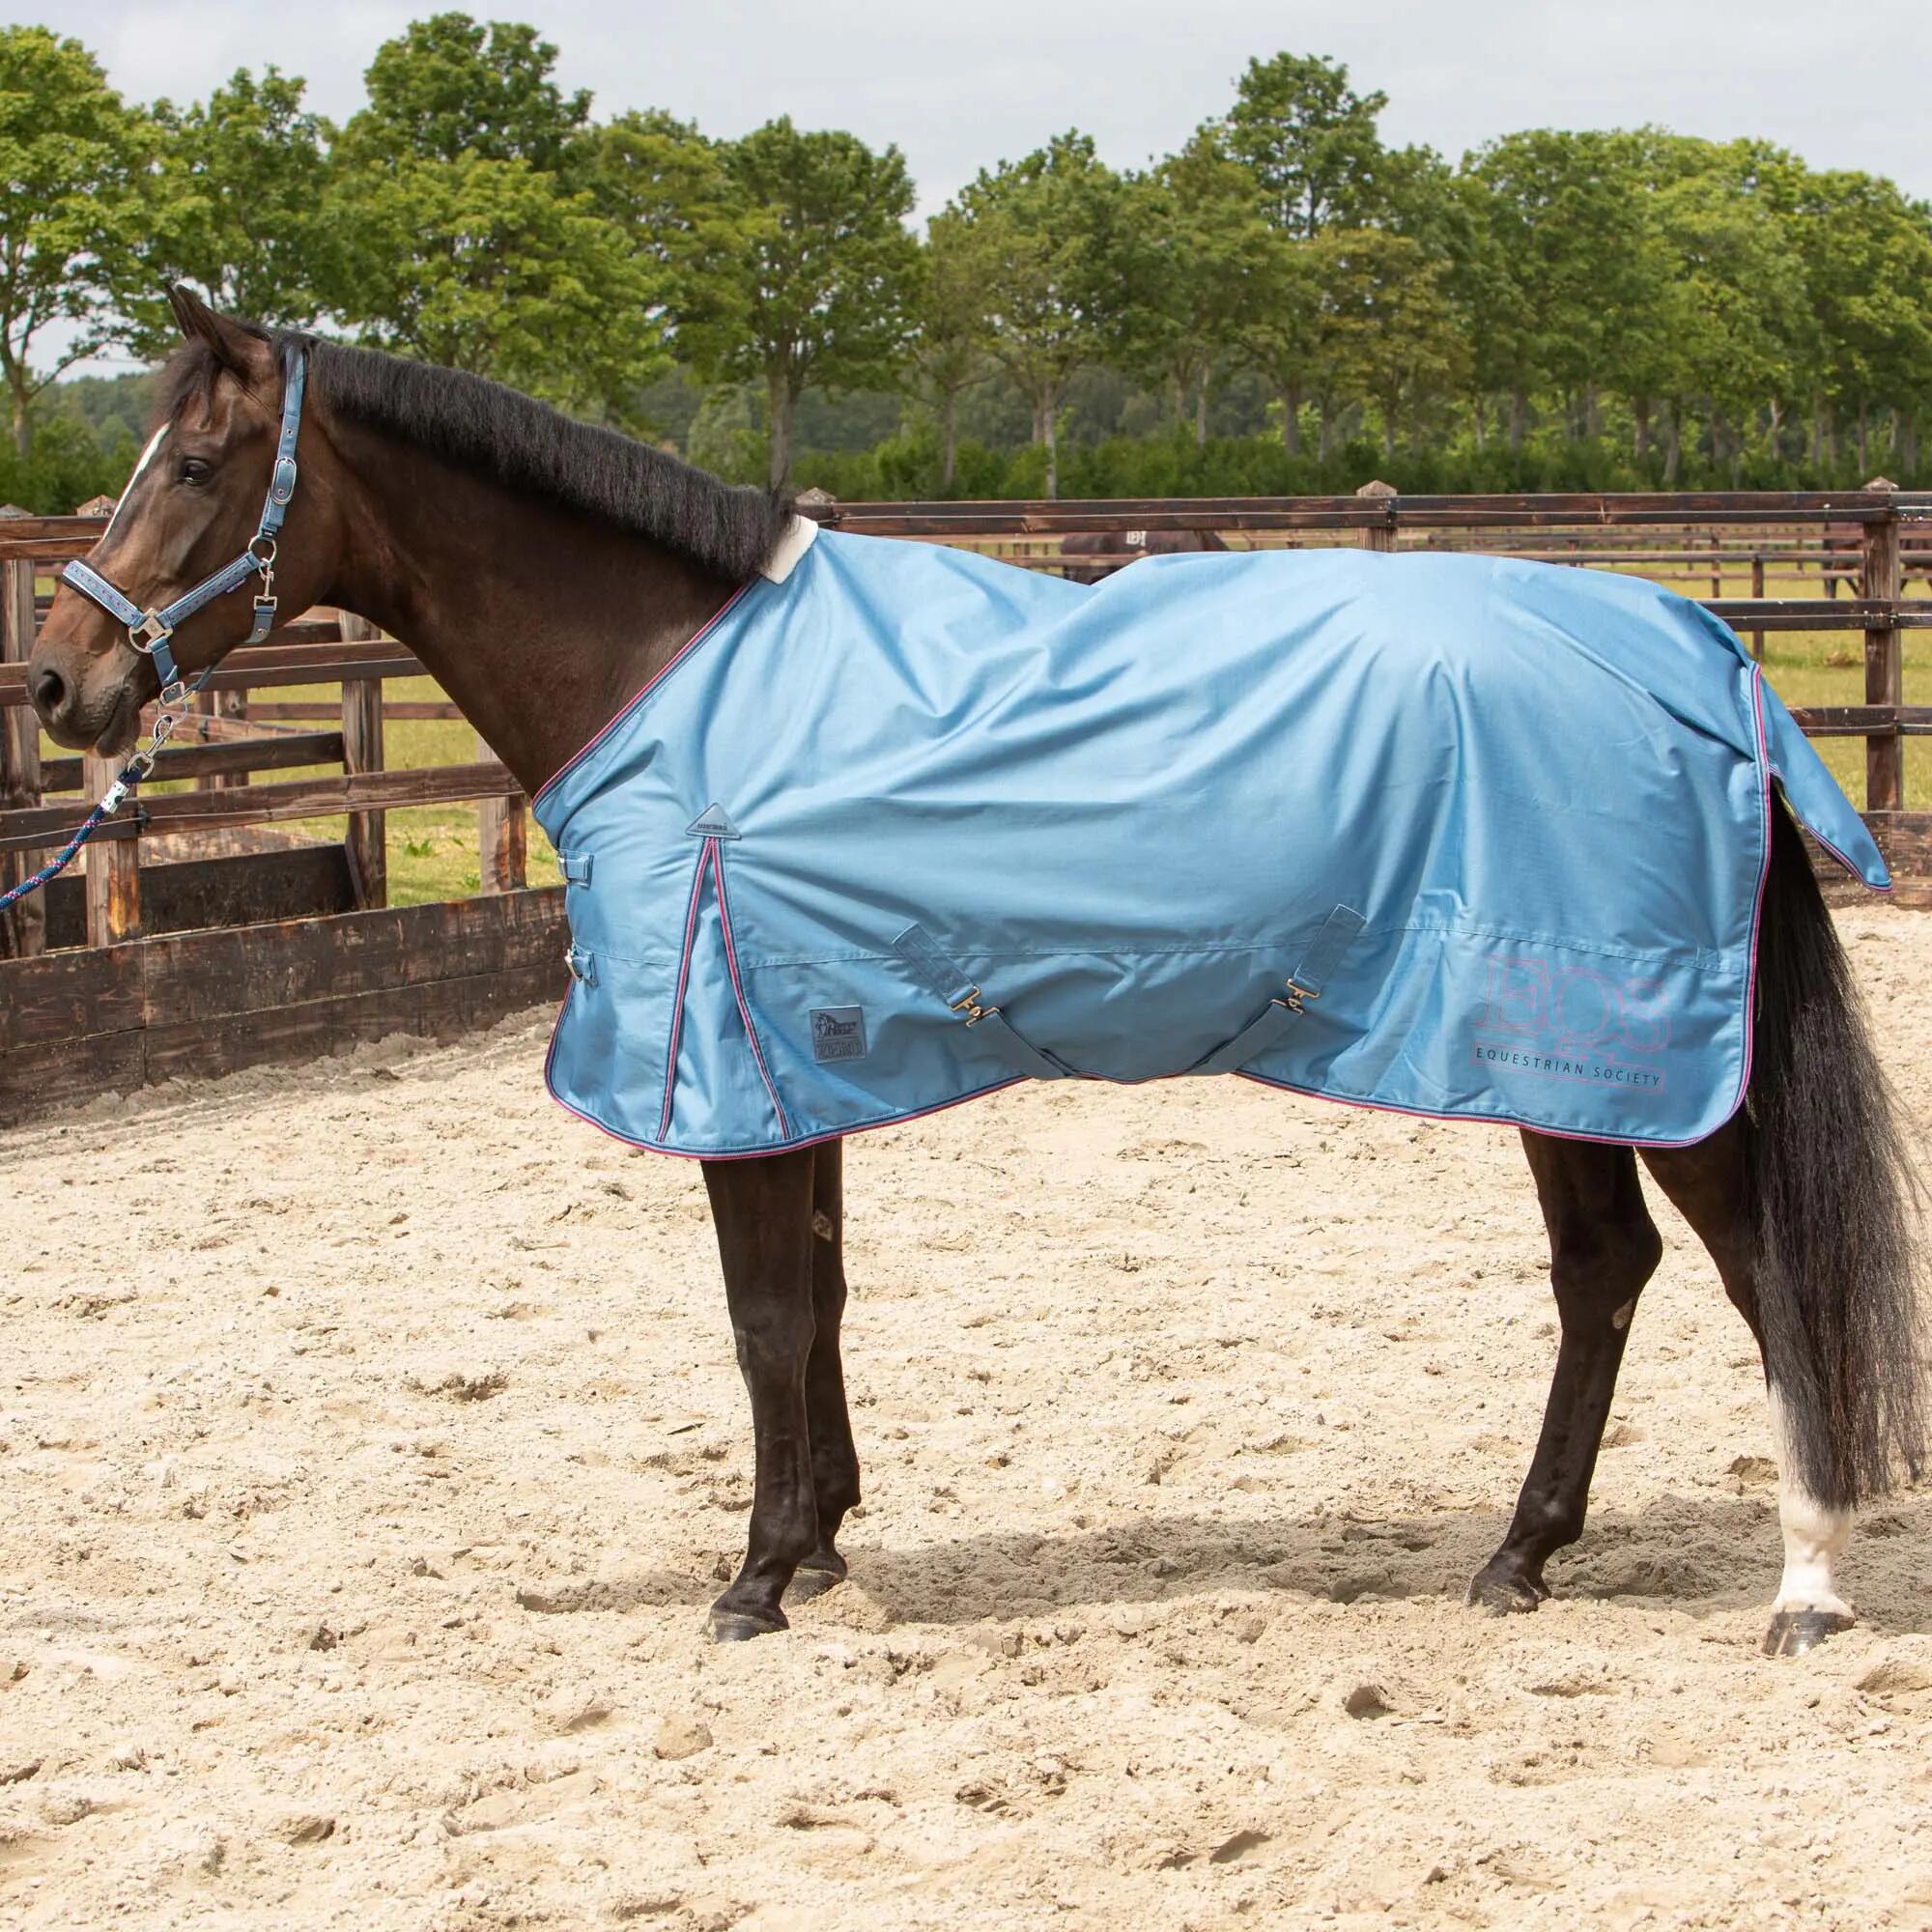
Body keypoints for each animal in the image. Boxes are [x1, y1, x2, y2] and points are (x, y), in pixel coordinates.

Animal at [30, 289, 1924, 1656]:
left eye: (192, 467)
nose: (58, 684)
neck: (676, 670)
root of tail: (1695, 654)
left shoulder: (736, 1063)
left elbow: (761, 1314)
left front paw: (755, 1579)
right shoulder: (799, 1054)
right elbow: (817, 1302)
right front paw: (823, 1541)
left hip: (1632, 1059)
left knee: (1762, 1273)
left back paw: (1807, 1583)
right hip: (1542, 1060)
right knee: (1605, 1275)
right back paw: (1521, 1556)